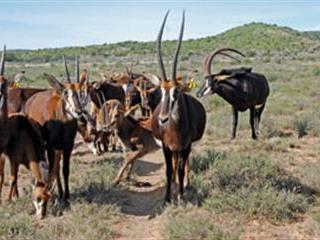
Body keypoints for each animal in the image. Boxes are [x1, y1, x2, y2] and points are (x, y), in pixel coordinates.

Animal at [0, 45, 53, 219]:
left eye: (48, 198)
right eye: (38, 198)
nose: (41, 216)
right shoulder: (14, 160)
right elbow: (12, 179)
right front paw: (8, 200)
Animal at [151, 11, 206, 202]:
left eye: (176, 91)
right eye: (161, 90)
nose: (162, 119)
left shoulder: (185, 146)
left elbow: (182, 169)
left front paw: (181, 196)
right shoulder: (166, 146)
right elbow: (169, 170)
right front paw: (168, 197)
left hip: (185, 148)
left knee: (184, 164)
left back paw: (185, 185)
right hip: (173, 149)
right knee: (175, 165)